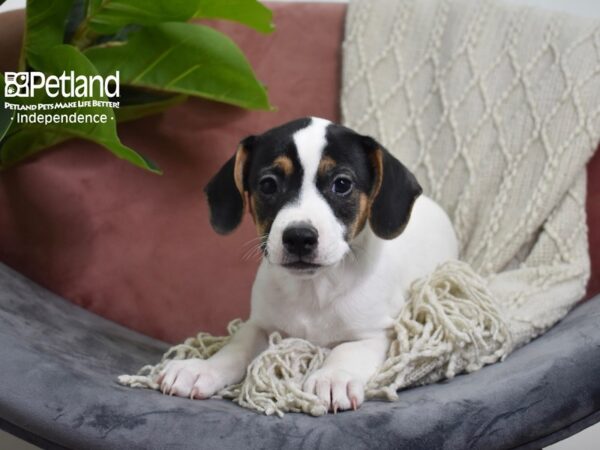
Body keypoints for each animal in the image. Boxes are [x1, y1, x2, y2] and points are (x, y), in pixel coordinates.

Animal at [157, 116, 458, 412]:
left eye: (342, 184)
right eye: (268, 184)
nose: (299, 237)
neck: (314, 288)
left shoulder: (378, 333)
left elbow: (346, 350)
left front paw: (332, 377)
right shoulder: (260, 324)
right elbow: (236, 347)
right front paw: (201, 368)